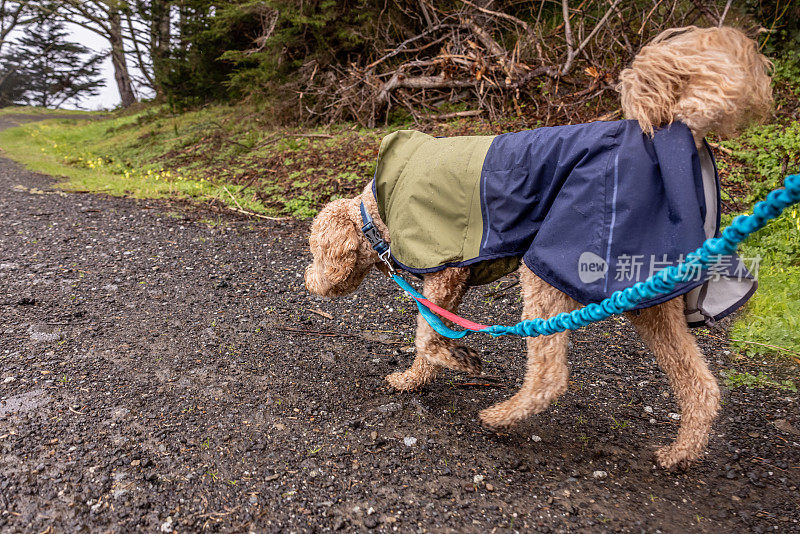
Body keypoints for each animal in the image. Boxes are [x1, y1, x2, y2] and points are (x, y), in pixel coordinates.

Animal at [304, 26, 772, 468]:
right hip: (653, 298)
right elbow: (434, 330)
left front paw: (443, 366)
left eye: (313, 251)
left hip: (548, 268)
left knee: (549, 374)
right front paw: (432, 369)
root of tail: (678, 127)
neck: (376, 213)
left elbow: (424, 334)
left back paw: (499, 417)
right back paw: (680, 453)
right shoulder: (452, 283)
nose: (306, 280)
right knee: (700, 383)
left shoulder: (444, 272)